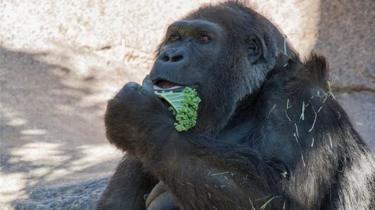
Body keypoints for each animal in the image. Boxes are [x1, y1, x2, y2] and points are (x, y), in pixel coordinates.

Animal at [97, 1, 375, 210]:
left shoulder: (300, 98)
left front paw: (138, 120)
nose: (171, 55)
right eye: (174, 37)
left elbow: (283, 200)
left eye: (204, 39)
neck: (242, 107)